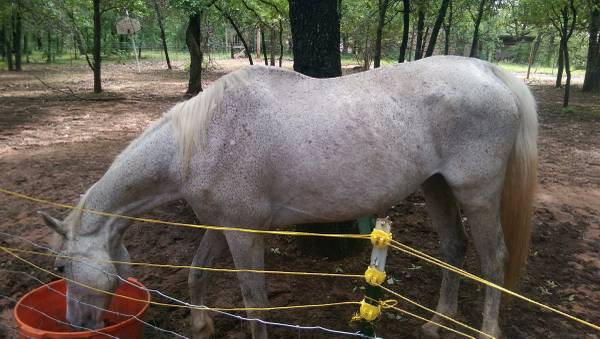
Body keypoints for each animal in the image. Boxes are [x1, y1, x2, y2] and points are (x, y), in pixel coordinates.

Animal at [39, 56, 536, 339]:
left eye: (61, 267)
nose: (74, 326)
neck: (202, 140)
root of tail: (488, 71)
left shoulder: (243, 235)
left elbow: (254, 301)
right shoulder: (223, 226)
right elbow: (197, 273)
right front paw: (201, 325)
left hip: (477, 194)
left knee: (493, 259)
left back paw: (485, 331)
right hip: (436, 187)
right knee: (454, 247)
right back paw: (438, 324)